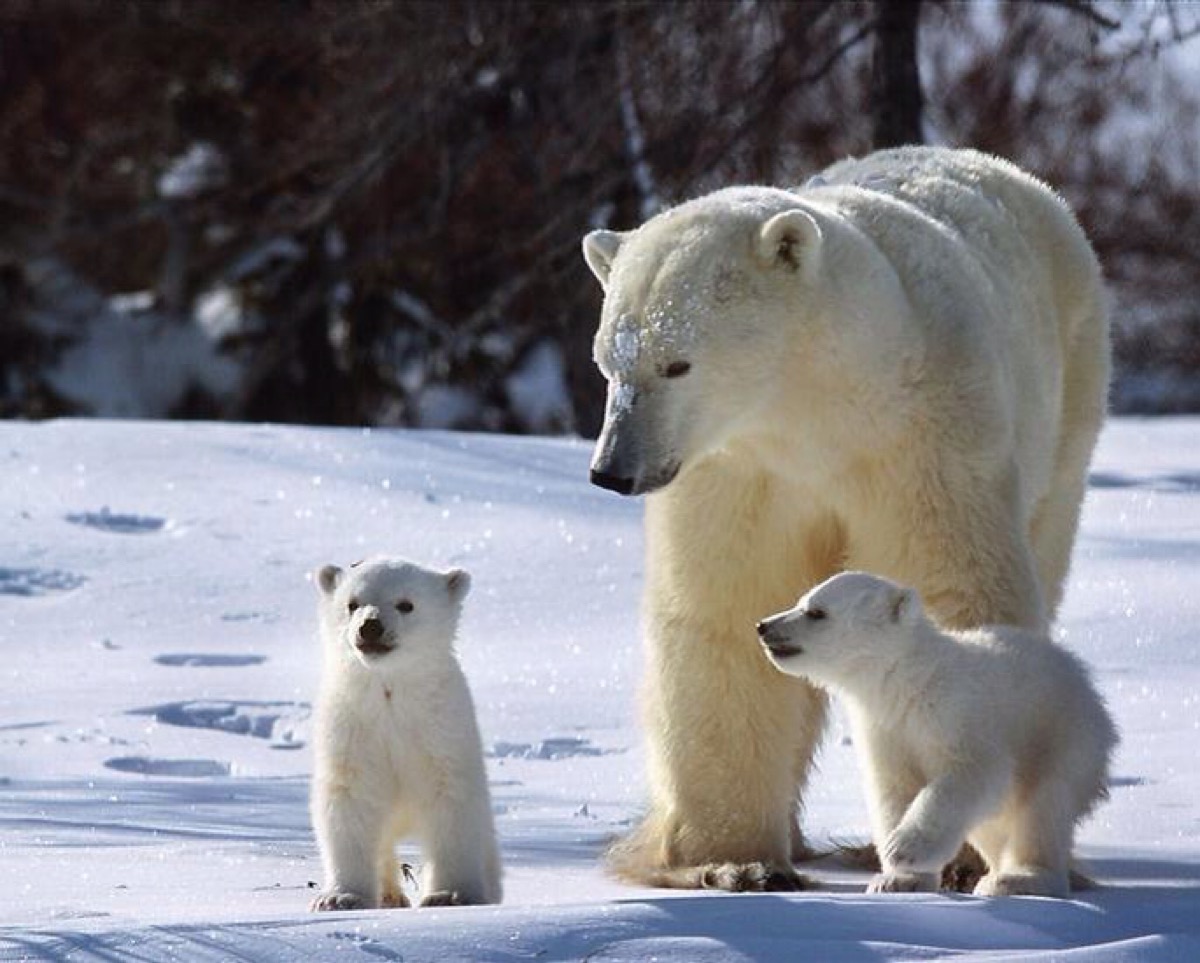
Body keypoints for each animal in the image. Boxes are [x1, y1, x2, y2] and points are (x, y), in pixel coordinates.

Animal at [585, 146, 1108, 888]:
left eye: (676, 363)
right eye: (608, 362)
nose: (613, 470)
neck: (819, 412)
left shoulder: (921, 440)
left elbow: (953, 584)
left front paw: (956, 858)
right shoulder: (739, 471)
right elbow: (725, 608)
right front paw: (734, 861)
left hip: (1069, 402)